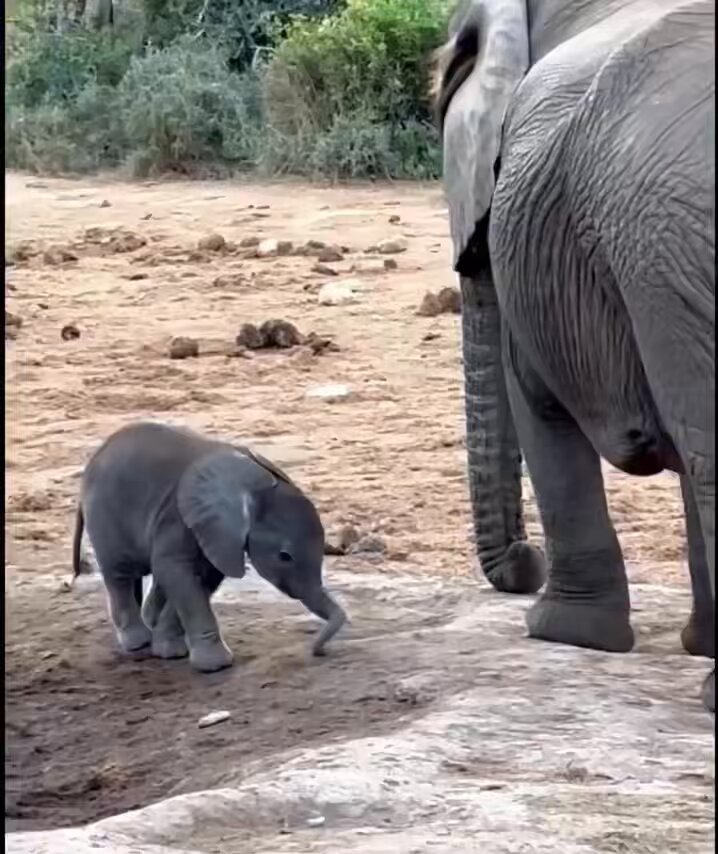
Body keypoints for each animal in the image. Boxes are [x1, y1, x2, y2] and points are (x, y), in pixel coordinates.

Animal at [72, 422, 347, 672]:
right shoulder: (179, 517)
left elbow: (203, 577)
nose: (316, 651)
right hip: (103, 514)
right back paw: (138, 642)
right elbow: (178, 574)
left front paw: (171, 651)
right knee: (119, 574)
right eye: (284, 556)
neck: (252, 485)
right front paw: (215, 665)